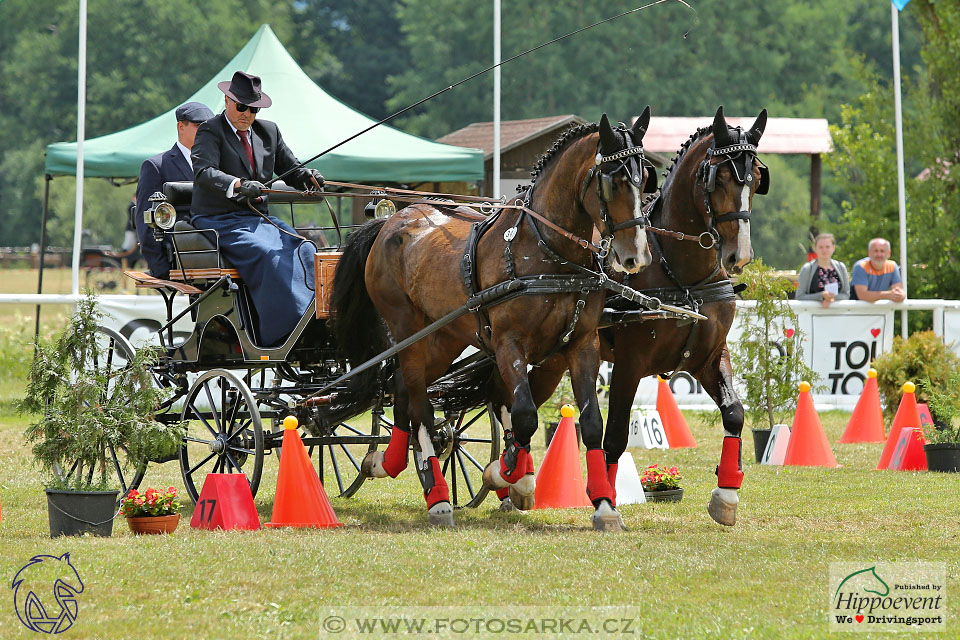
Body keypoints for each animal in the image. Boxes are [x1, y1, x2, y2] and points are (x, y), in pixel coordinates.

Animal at [328, 112, 652, 528]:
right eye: (612, 180)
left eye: (645, 178)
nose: (635, 256)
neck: (549, 252)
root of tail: (392, 219)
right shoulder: (508, 343)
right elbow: (525, 414)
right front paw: (510, 474)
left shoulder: (583, 344)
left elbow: (591, 423)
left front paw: (605, 505)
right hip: (407, 329)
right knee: (419, 400)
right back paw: (438, 496)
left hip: (445, 336)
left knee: (402, 388)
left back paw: (393, 463)